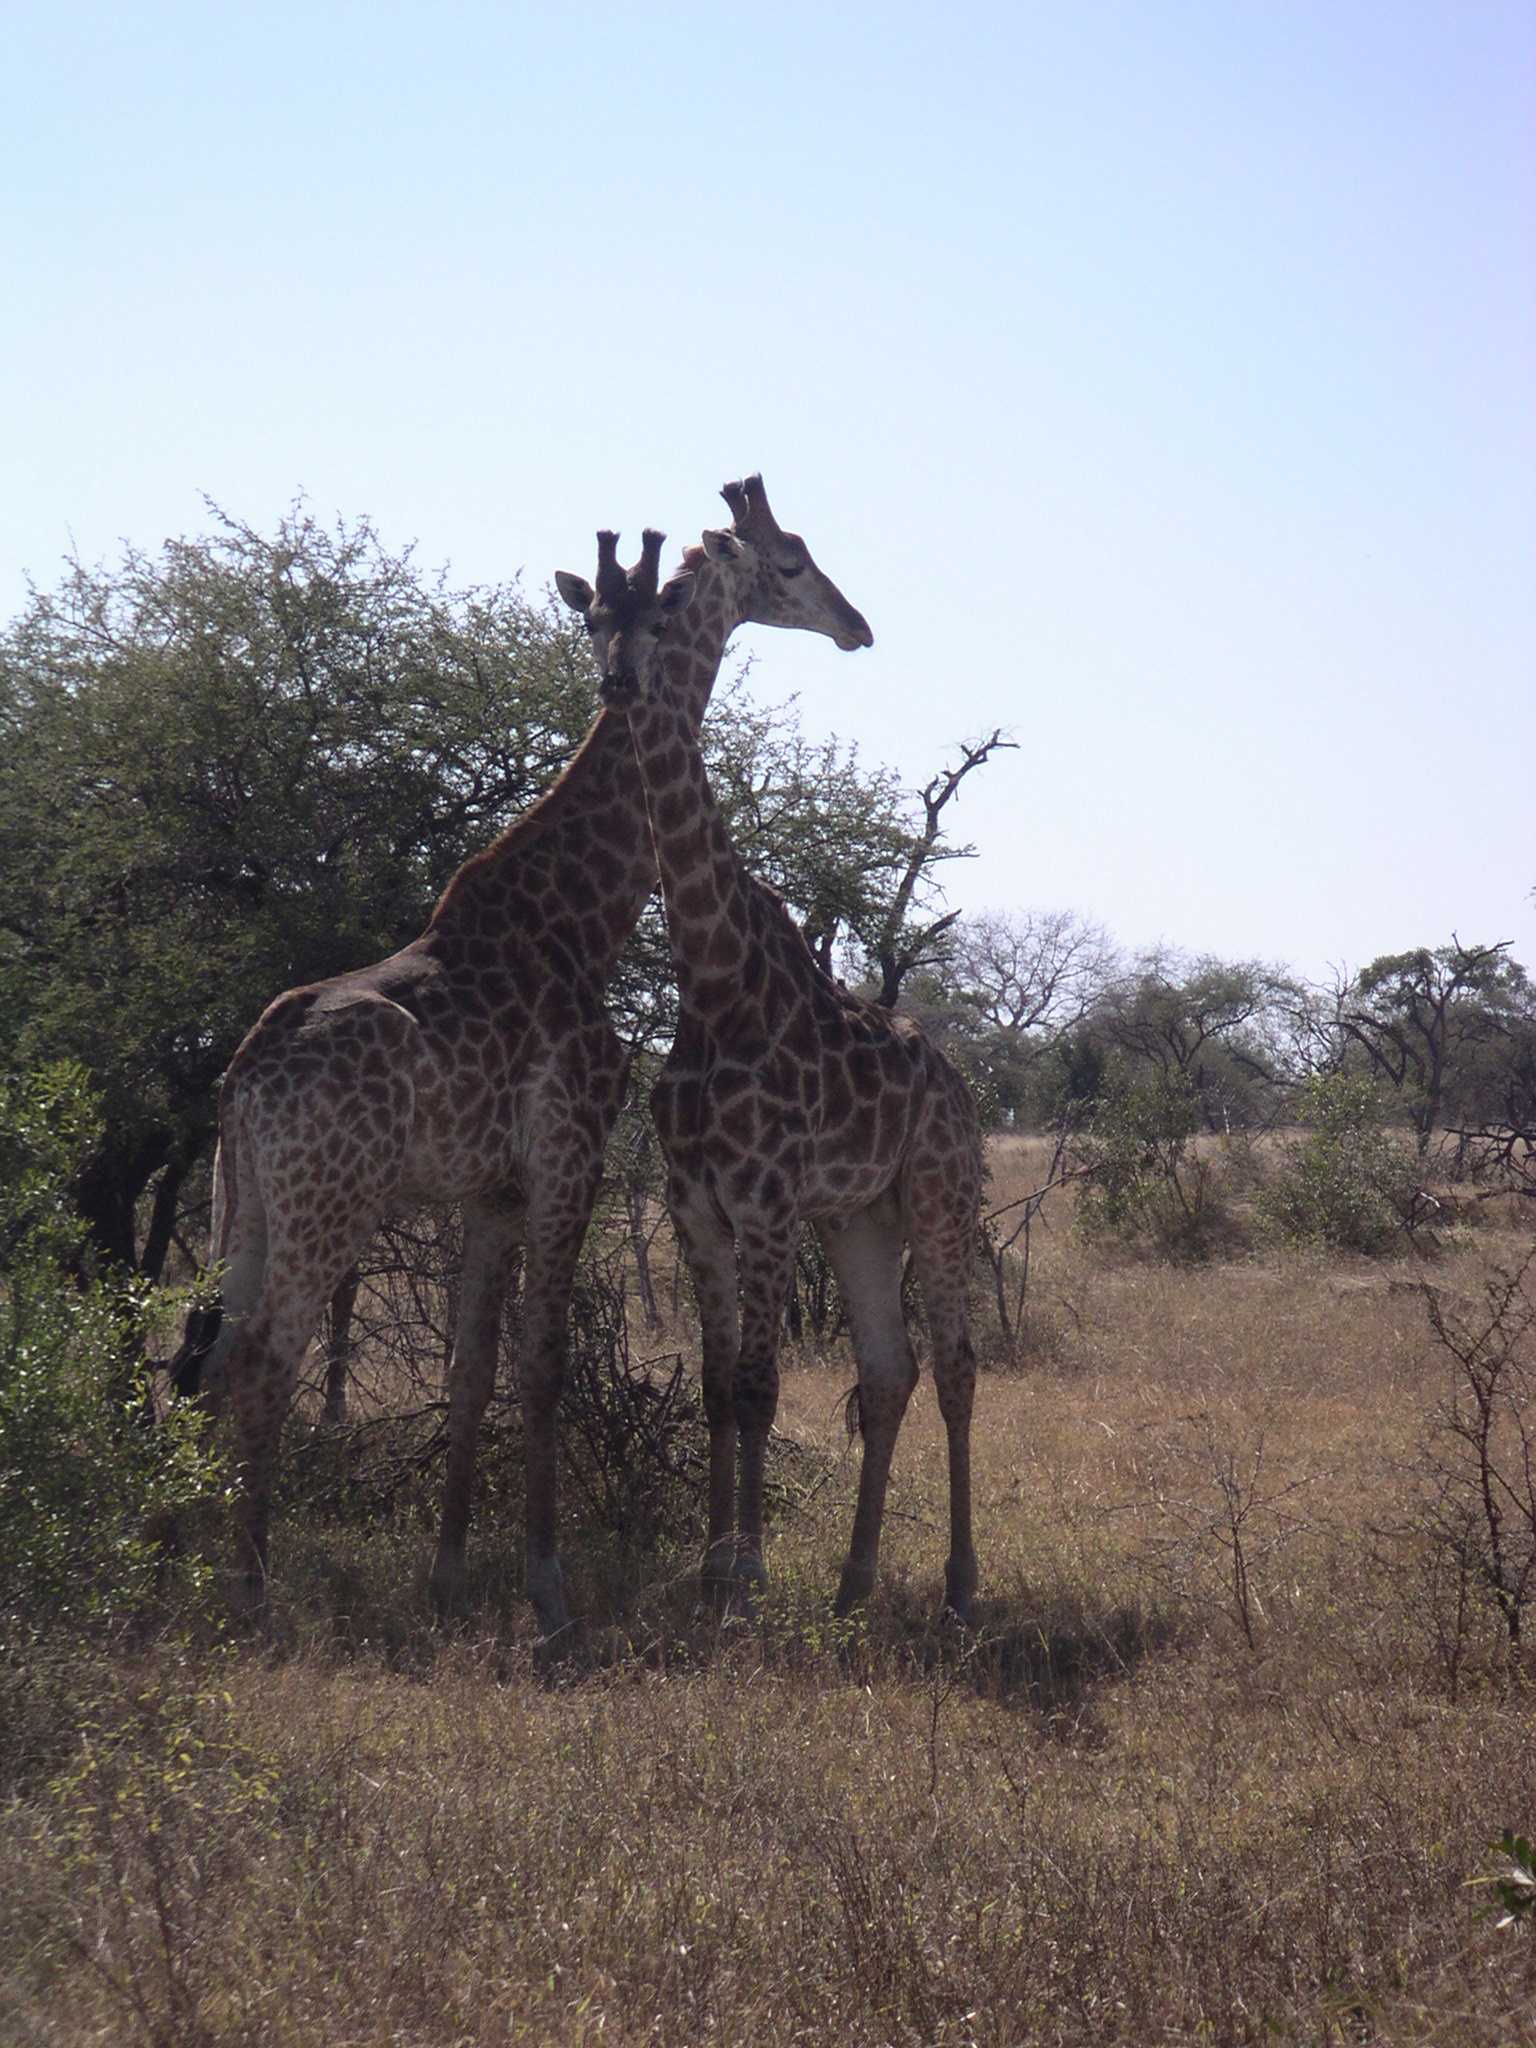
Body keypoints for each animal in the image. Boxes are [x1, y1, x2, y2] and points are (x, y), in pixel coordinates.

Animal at [173, 468, 872, 1630]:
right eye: (793, 559)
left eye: (647, 617)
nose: (856, 624)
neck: (580, 917)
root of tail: (241, 1079)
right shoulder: (566, 1158)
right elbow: (540, 1365)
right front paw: (547, 1586)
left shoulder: (488, 1191)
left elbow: (471, 1371)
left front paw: (451, 1573)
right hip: (332, 1199)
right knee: (266, 1357)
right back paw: (250, 1589)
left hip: (248, 1202)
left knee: (209, 1351)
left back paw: (203, 1563)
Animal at [561, 495, 978, 1613]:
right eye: (595, 619)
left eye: (663, 613)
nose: (856, 623)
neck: (716, 977)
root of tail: (963, 1084)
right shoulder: (695, 1204)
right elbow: (716, 1387)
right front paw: (712, 1567)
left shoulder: (766, 1201)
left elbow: (758, 1384)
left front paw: (744, 1571)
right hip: (862, 1214)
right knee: (888, 1370)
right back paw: (854, 1580)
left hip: (941, 1194)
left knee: (958, 1365)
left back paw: (962, 1581)